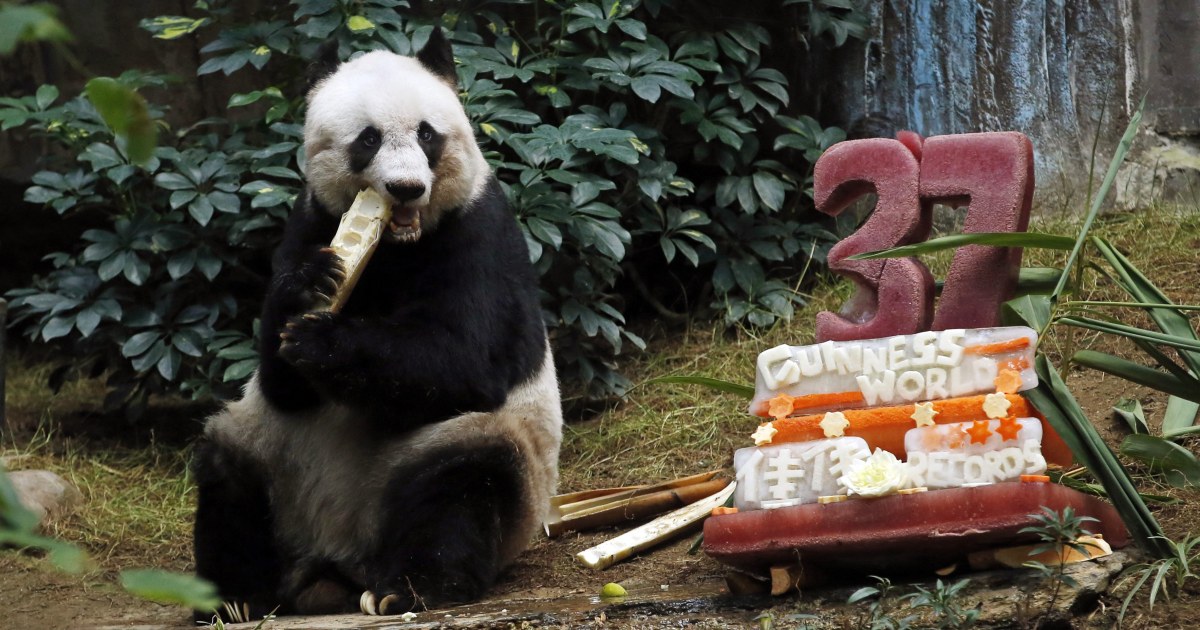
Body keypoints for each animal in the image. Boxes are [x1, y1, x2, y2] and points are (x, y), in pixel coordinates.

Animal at [190, 28, 561, 614]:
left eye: (428, 134)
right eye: (367, 139)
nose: (406, 188)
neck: (395, 245)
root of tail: (339, 558)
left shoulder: (481, 230)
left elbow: (466, 358)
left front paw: (322, 342)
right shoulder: (311, 218)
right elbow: (281, 382)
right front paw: (308, 289)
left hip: (458, 456)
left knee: (466, 481)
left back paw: (410, 587)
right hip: (274, 458)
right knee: (229, 475)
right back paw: (234, 598)